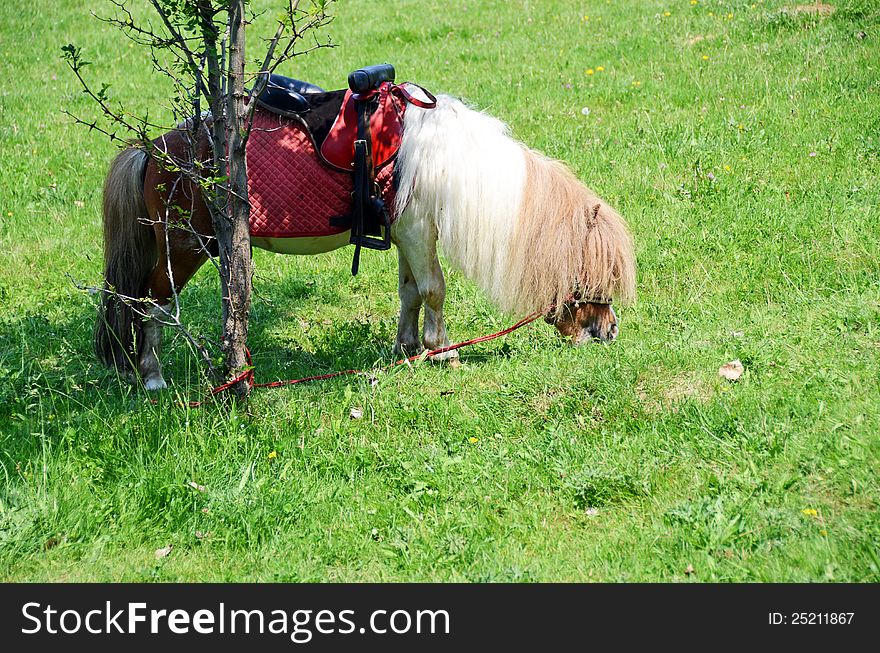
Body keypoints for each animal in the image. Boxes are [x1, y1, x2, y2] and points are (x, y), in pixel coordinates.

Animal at [96, 90, 636, 388]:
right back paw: (151, 375)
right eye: (592, 275)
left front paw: (408, 346)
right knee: (152, 305)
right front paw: (444, 351)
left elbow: (411, 292)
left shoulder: (408, 236)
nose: (608, 332)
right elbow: (435, 290)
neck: (443, 159)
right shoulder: (418, 233)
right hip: (184, 249)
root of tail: (153, 149)